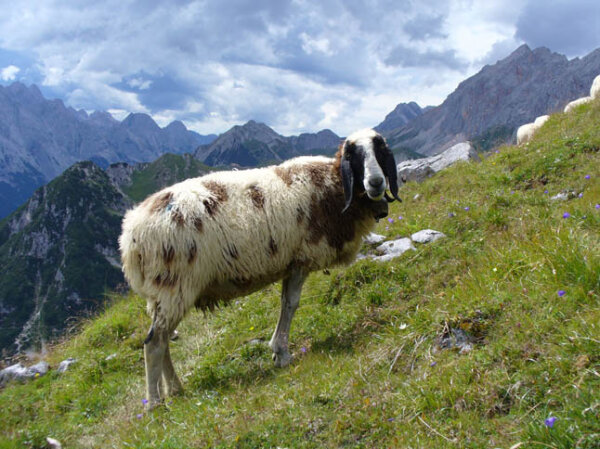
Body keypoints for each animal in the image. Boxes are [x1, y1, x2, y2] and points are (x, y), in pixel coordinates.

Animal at [120, 128, 404, 408]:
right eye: (353, 154)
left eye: (380, 150)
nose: (376, 182)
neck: (333, 186)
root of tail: (130, 235)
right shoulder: (302, 259)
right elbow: (290, 304)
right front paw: (282, 354)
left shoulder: (291, 263)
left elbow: (284, 303)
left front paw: (278, 351)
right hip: (174, 284)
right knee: (154, 343)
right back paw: (155, 402)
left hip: (163, 292)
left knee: (163, 339)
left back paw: (175, 389)